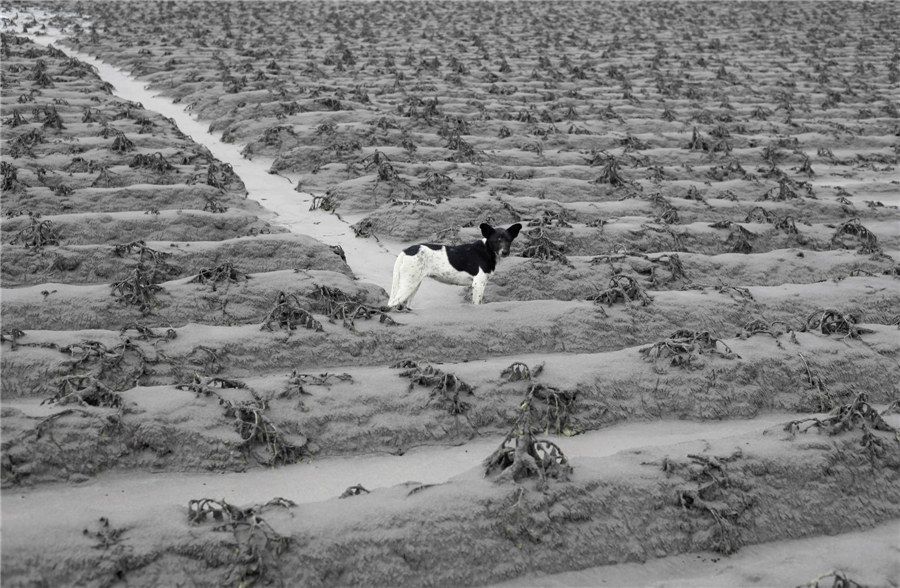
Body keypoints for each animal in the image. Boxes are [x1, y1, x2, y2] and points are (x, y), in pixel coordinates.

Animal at [384, 223, 520, 310]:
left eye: (508, 240)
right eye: (496, 240)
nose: (505, 252)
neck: (487, 250)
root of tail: (406, 250)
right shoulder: (478, 284)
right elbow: (477, 304)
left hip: (414, 284)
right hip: (409, 284)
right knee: (392, 304)